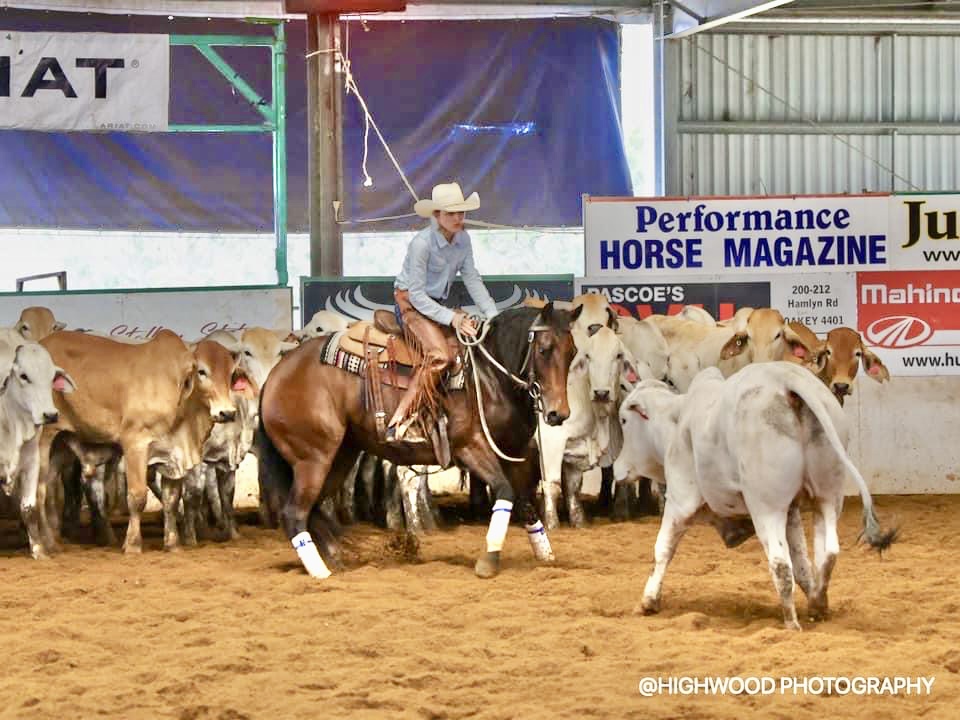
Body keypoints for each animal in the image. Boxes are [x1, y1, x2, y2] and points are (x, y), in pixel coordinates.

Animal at [0, 342, 77, 558]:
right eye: (24, 376)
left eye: (51, 377)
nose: (50, 415)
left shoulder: (32, 464)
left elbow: (29, 508)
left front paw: (38, 550)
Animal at [38, 331, 252, 553]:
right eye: (202, 371)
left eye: (231, 374)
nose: (227, 413)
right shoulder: (135, 444)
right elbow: (137, 497)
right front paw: (132, 544)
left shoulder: (173, 456)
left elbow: (171, 500)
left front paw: (172, 544)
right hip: (43, 439)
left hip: (60, 444)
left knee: (49, 487)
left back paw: (54, 536)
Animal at [256, 303, 581, 579]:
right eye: (544, 349)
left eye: (572, 352)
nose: (558, 413)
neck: (489, 376)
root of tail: (275, 375)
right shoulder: (471, 448)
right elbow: (505, 492)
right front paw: (489, 560)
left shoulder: (513, 453)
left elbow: (525, 501)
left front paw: (546, 555)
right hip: (313, 458)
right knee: (294, 513)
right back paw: (320, 572)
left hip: (339, 456)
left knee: (313, 509)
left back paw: (333, 558)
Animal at [628, 362, 896, 630]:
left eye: (623, 419)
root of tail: (785, 380)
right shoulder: (792, 512)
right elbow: (802, 564)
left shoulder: (680, 499)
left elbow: (663, 548)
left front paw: (648, 601)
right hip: (827, 495)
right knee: (827, 552)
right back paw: (817, 605)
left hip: (767, 508)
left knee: (780, 564)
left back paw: (792, 623)